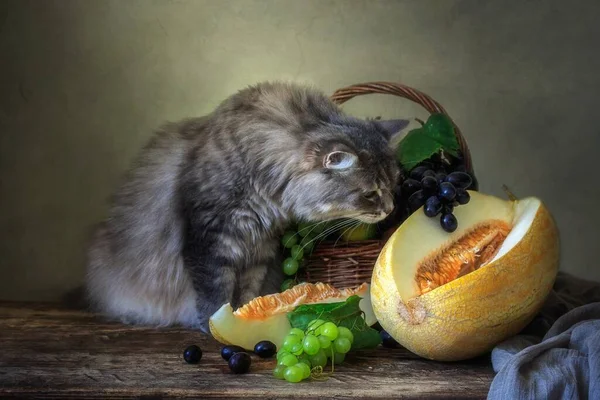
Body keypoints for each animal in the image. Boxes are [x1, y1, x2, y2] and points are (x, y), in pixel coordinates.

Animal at [86, 80, 410, 332]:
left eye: (394, 184)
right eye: (370, 193)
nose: (390, 209)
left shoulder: (260, 245)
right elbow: (215, 293)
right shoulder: (211, 240)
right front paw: (214, 325)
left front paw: (245, 313)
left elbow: (248, 291)